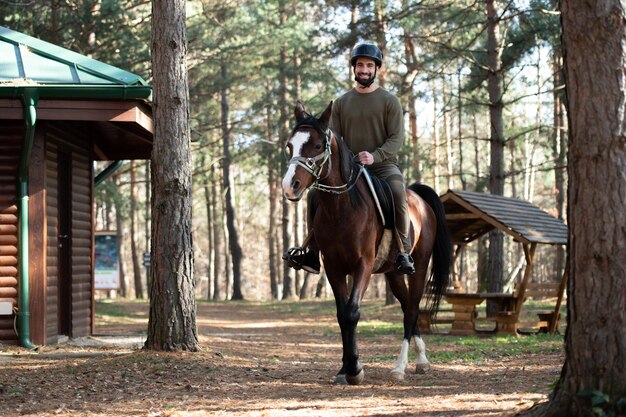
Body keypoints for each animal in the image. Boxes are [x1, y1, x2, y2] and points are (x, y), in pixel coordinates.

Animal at [282, 101, 448, 384]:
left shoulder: (364, 265)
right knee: (407, 306)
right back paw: (420, 360)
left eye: (317, 145)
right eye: (290, 146)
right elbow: (341, 314)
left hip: (420, 266)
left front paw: (355, 369)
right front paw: (345, 368)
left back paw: (402, 366)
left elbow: (352, 312)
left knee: (413, 309)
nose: (289, 186)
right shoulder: (334, 268)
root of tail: (418, 197)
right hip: (393, 272)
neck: (341, 208)